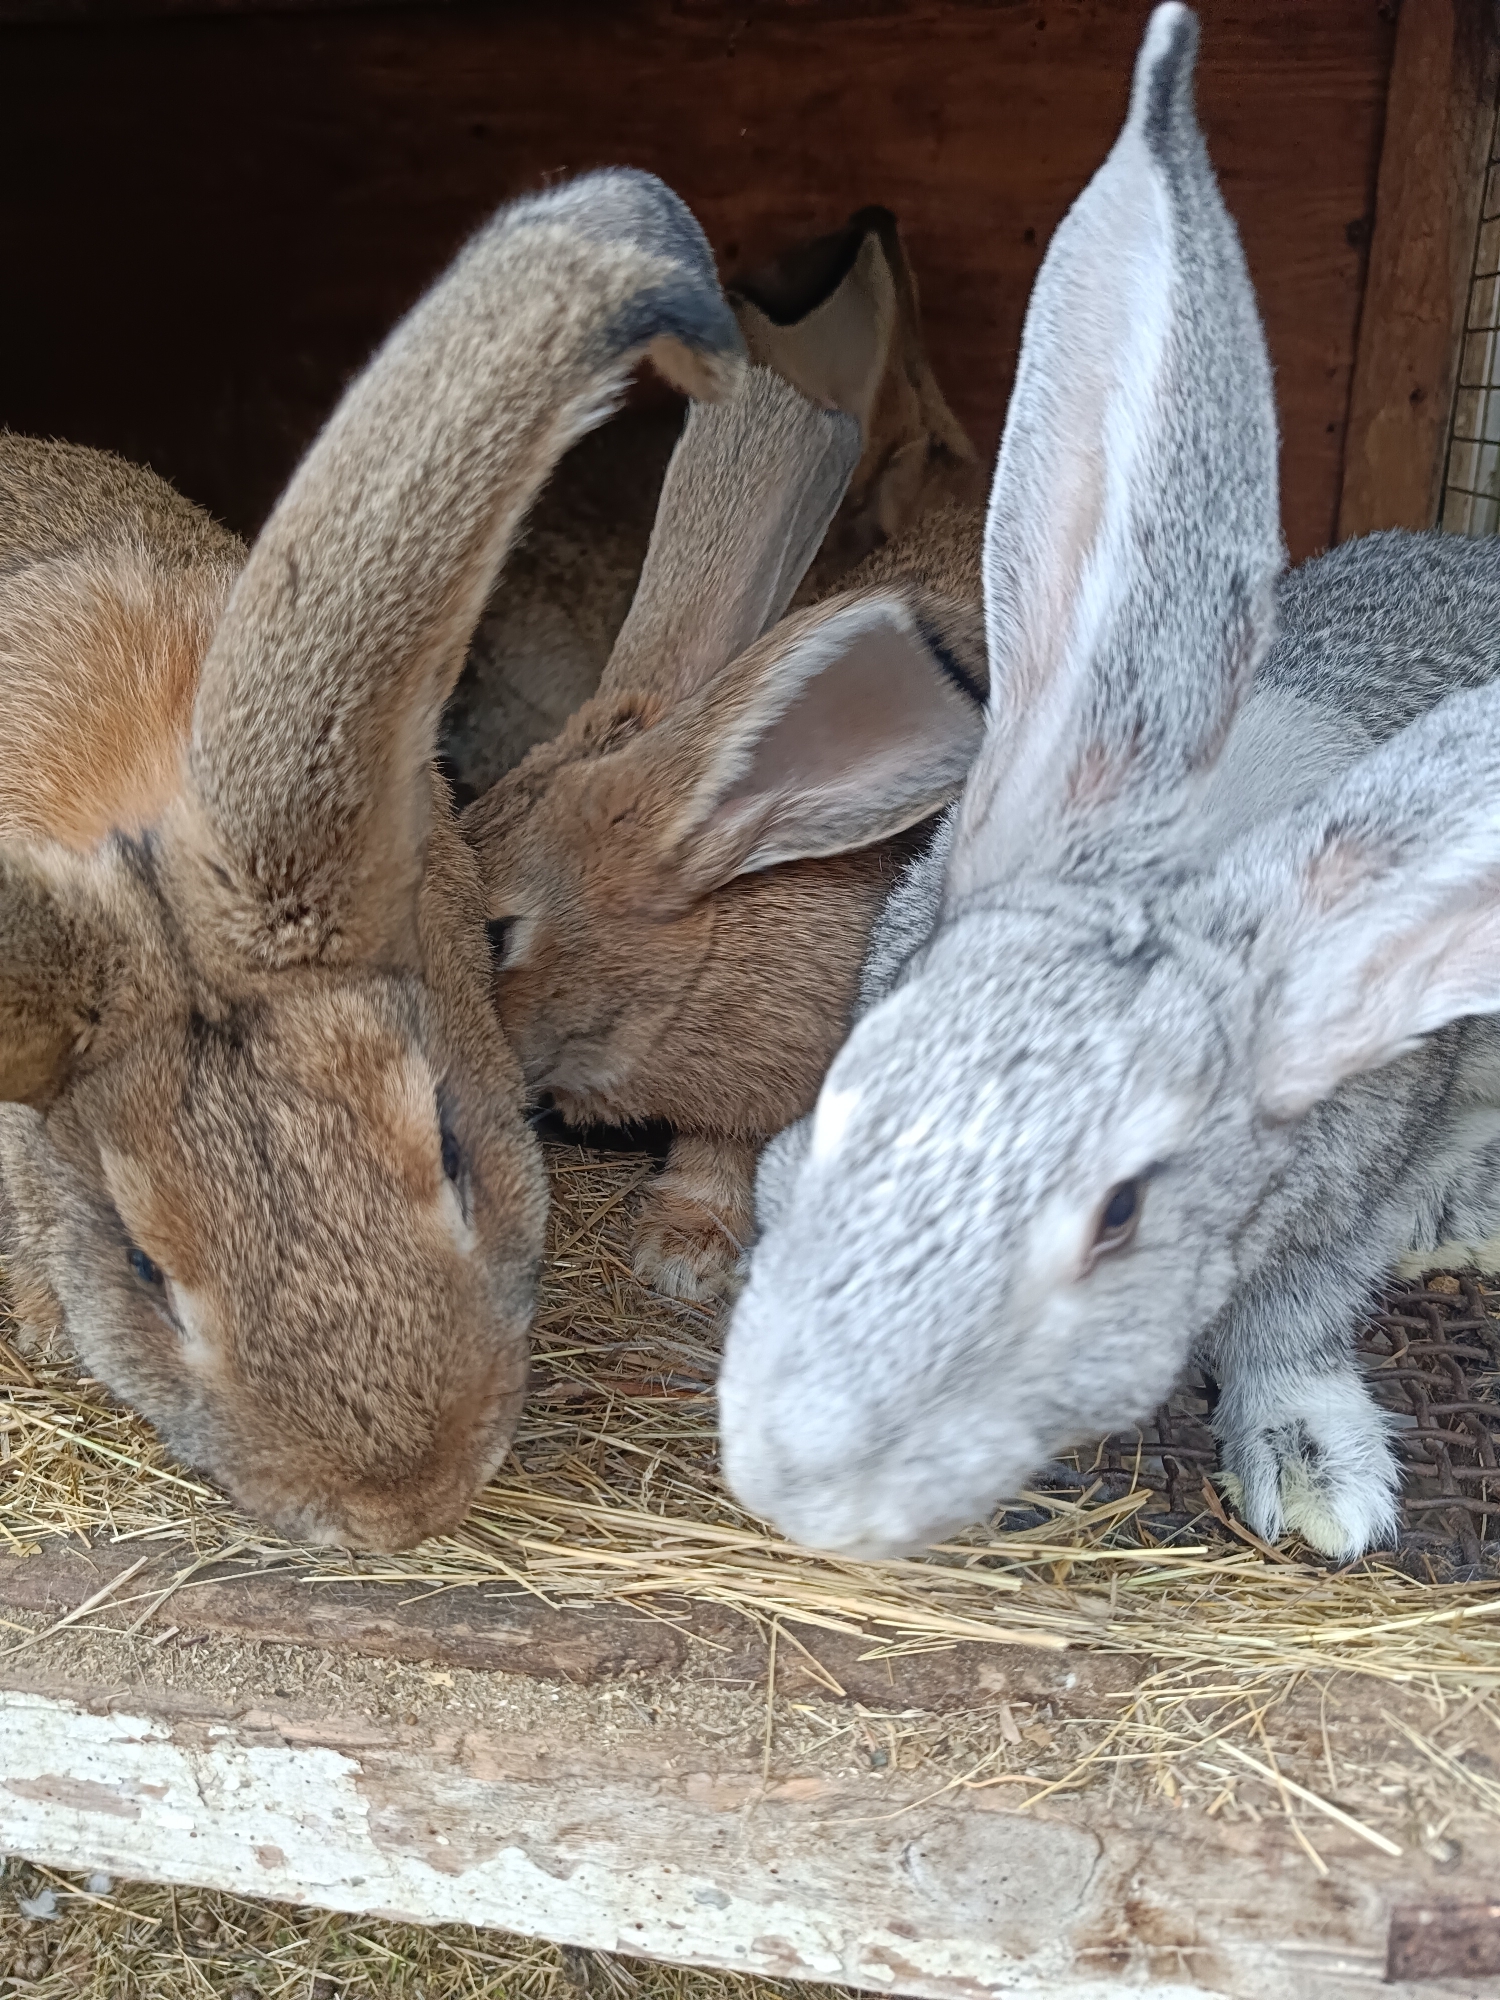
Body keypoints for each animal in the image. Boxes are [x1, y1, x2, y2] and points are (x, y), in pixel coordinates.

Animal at [717, 2, 1500, 1566]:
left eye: (1120, 1213)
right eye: (854, 1084)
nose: (793, 1464)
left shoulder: (1347, 1183)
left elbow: (1292, 1316)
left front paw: (1318, 1478)